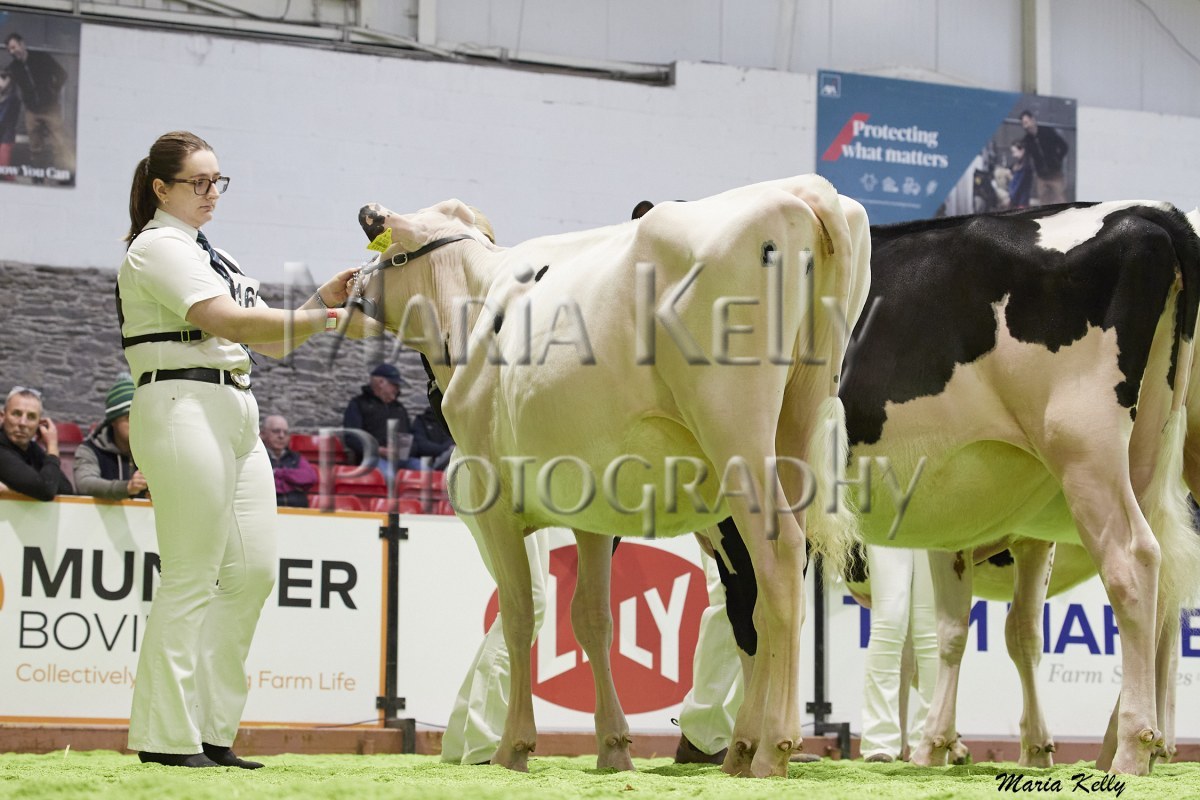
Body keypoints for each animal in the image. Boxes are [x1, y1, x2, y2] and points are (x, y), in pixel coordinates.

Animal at [350, 175, 872, 777]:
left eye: (388, 244)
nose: (352, 288)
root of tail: (801, 190)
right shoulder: (591, 508)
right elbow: (591, 617)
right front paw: (614, 747)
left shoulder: (493, 499)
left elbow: (519, 614)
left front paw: (513, 749)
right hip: (796, 425)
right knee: (763, 591)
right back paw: (742, 748)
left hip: (735, 430)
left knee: (778, 558)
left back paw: (771, 749)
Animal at [703, 201, 1200, 776]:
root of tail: (1146, 213)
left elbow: (753, 617)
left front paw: (747, 748)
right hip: (1147, 453)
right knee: (1164, 595)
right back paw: (1125, 746)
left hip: (1084, 448)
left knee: (1133, 561)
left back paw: (1132, 750)